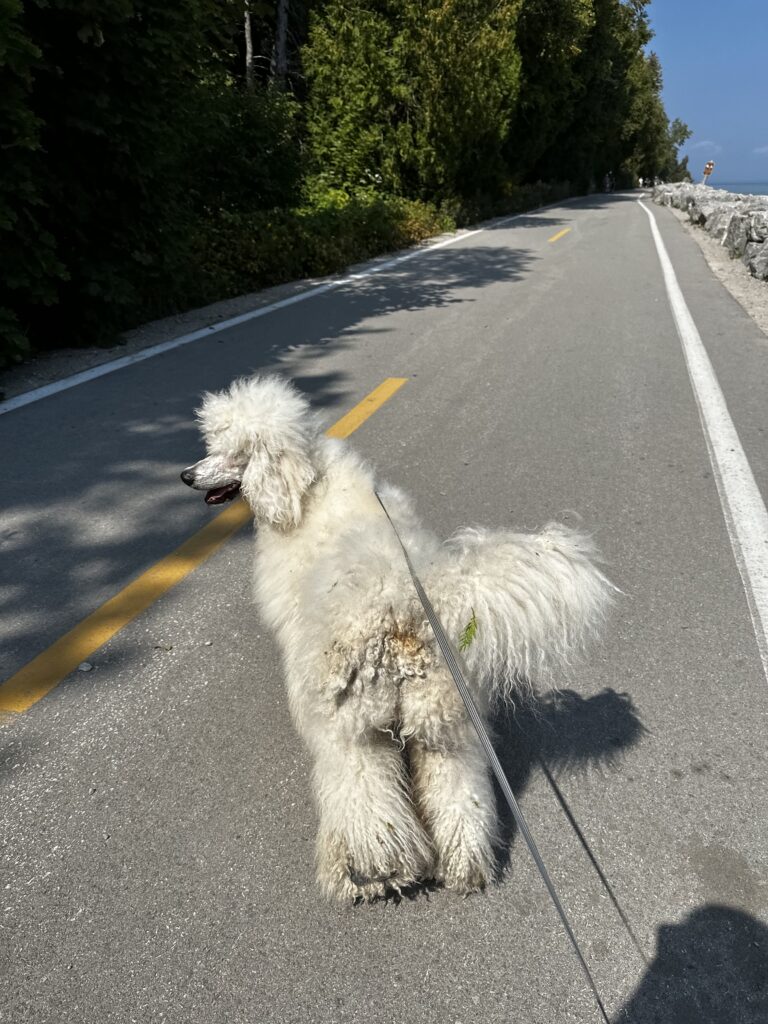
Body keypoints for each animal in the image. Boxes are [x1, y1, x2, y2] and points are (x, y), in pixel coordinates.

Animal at [181, 375, 613, 901]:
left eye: (233, 452)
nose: (186, 475)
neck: (307, 484)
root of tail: (410, 609)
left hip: (355, 726)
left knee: (365, 793)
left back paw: (376, 871)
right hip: (445, 720)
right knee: (456, 790)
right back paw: (463, 865)